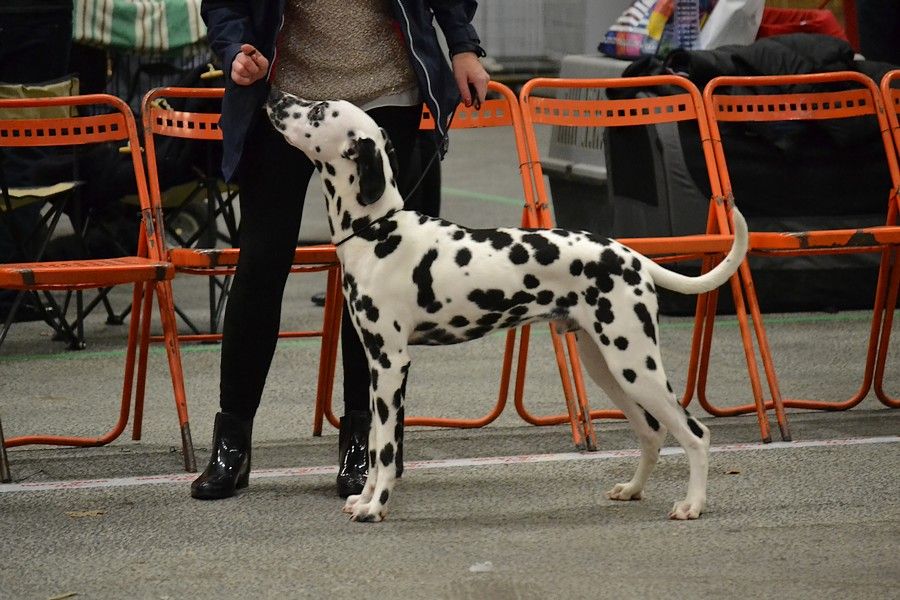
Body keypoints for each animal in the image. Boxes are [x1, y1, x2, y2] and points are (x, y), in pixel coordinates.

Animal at [264, 88, 748, 520]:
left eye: (319, 110)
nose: (275, 95)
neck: (377, 231)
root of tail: (632, 257)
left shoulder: (391, 363)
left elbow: (385, 450)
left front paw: (377, 507)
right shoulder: (375, 367)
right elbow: (378, 439)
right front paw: (364, 499)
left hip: (635, 364)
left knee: (695, 433)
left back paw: (693, 504)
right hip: (606, 366)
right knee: (651, 431)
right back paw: (631, 489)